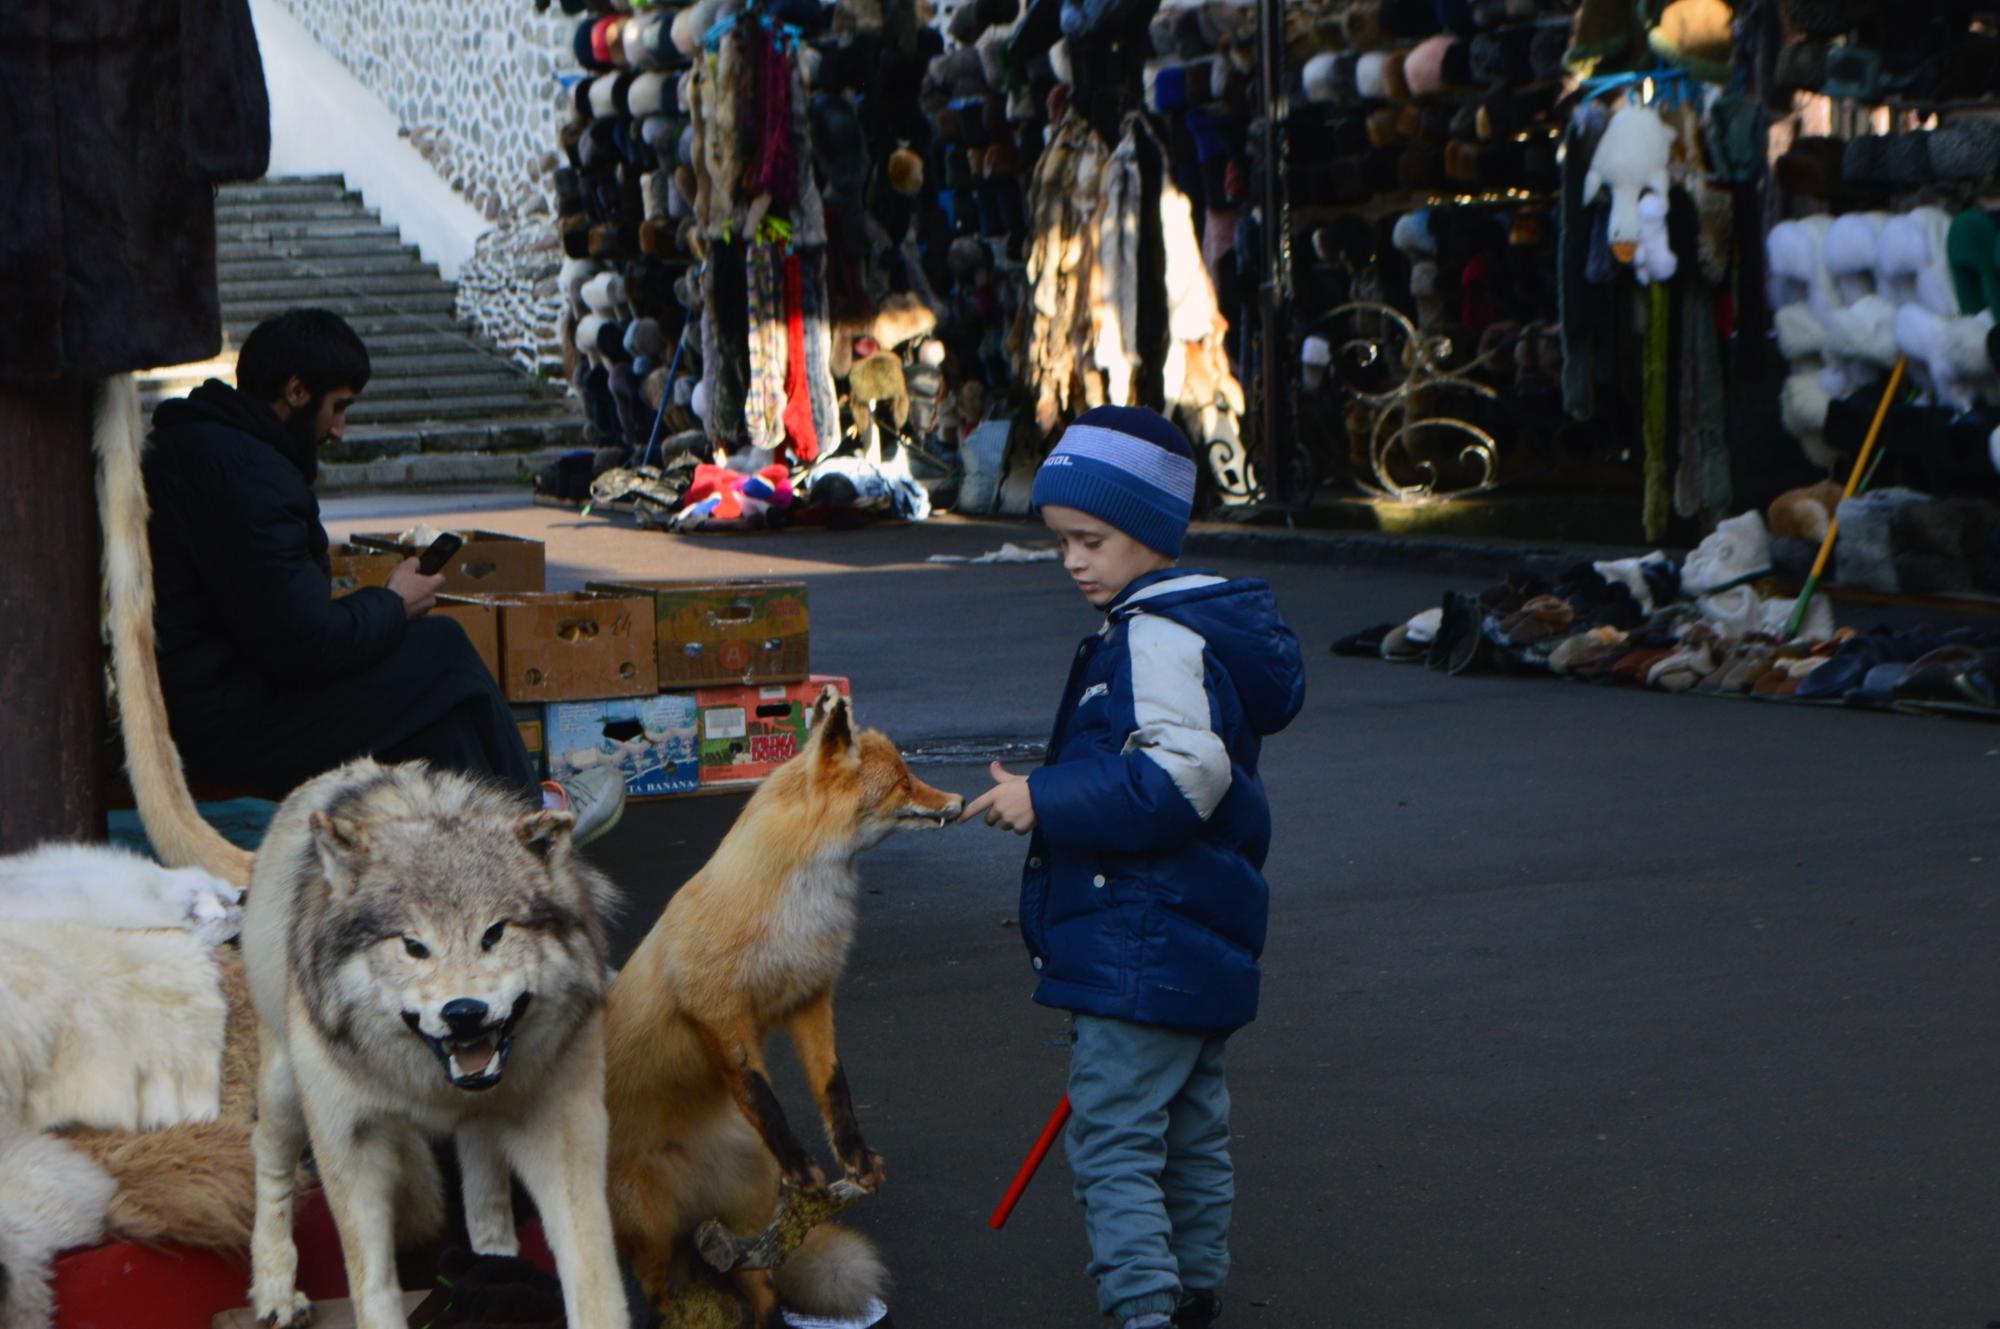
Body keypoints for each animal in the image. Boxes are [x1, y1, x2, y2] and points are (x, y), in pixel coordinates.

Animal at [600, 688, 960, 1320]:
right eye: (904, 782)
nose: (960, 802)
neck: (792, 912)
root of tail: (695, 1192)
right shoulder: (718, 1011)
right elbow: (762, 1096)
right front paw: (801, 1166)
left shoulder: (810, 998)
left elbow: (834, 1088)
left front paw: (857, 1160)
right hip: (645, 1232)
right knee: (661, 1290)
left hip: (741, 1218)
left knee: (761, 1287)